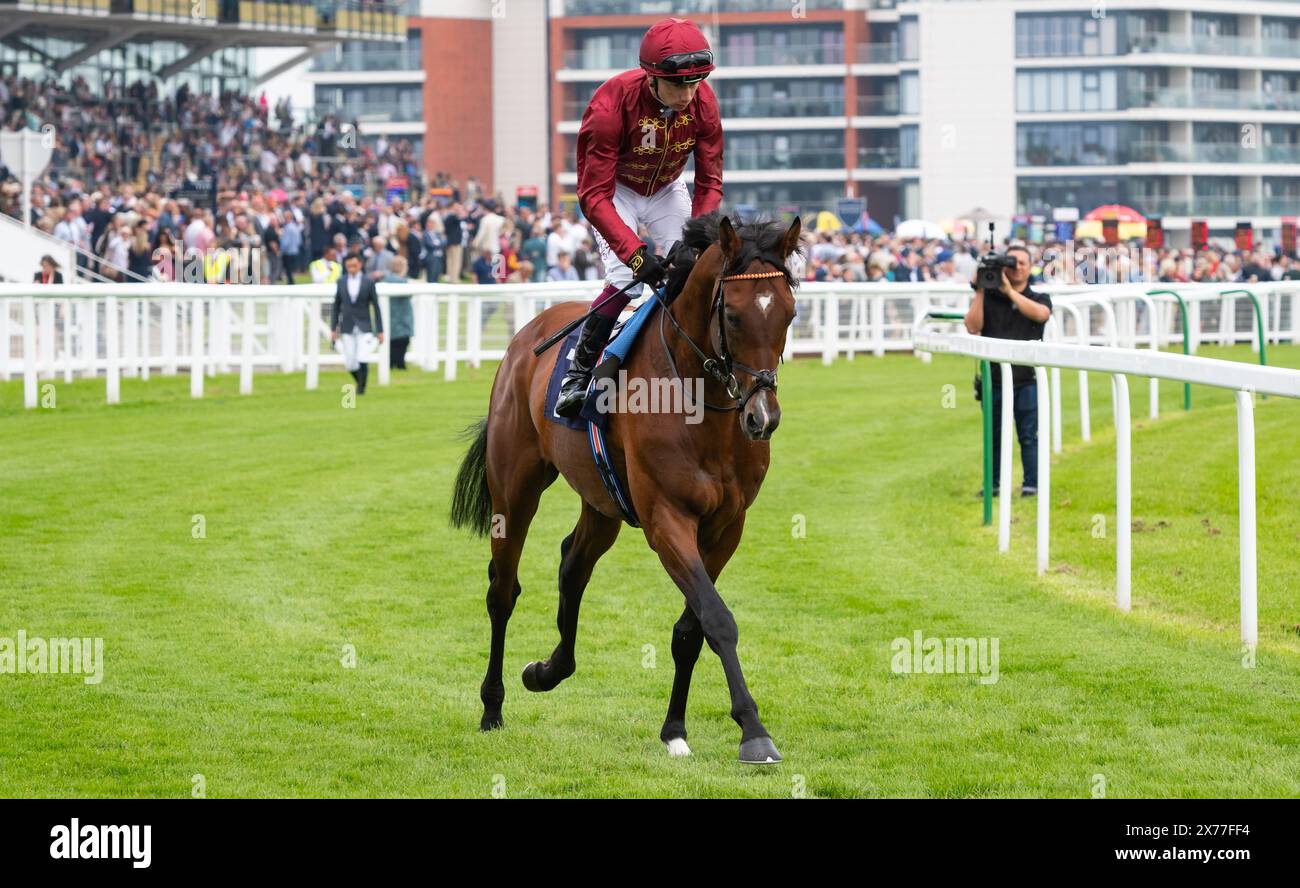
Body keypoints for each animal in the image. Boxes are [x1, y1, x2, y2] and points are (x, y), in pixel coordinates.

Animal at [452, 210, 806, 764]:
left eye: (788, 314)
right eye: (732, 317)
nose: (762, 417)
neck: (700, 403)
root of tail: (525, 338)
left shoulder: (726, 527)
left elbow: (691, 629)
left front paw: (675, 729)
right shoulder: (667, 519)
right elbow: (717, 618)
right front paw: (753, 731)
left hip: (603, 503)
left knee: (573, 563)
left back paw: (547, 671)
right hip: (515, 488)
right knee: (502, 590)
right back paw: (492, 707)